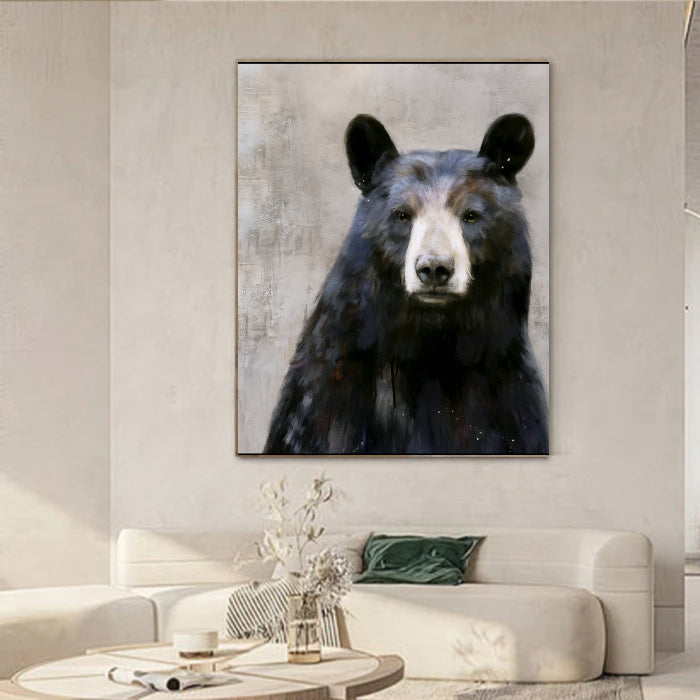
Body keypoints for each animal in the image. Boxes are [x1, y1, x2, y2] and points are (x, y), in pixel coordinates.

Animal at [264, 113, 548, 455]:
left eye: (471, 215)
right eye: (401, 215)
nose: (435, 268)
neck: (431, 342)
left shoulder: (506, 390)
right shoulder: (327, 397)